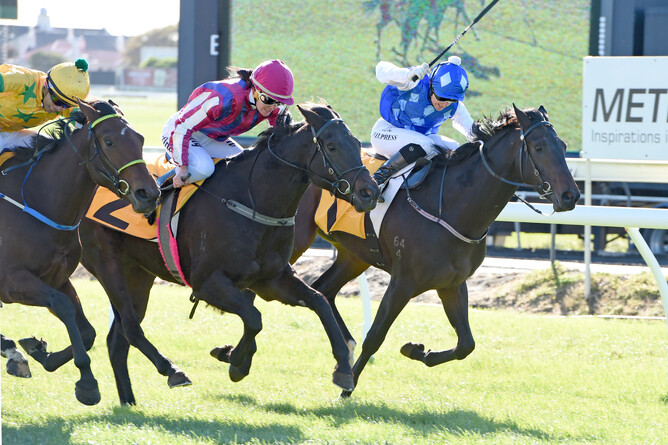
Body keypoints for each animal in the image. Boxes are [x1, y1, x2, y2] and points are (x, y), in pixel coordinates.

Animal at [0, 100, 160, 405]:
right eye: (108, 141)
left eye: (140, 139)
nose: (149, 194)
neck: (38, 201)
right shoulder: (11, 281)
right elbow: (63, 306)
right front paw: (87, 382)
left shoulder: (57, 278)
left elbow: (87, 331)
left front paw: (40, 353)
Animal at [78, 102, 380, 405]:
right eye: (331, 146)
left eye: (356, 143)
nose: (370, 191)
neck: (252, 201)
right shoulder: (208, 283)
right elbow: (254, 317)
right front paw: (235, 361)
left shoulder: (272, 279)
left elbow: (319, 301)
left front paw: (343, 369)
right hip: (107, 264)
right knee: (129, 328)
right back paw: (171, 373)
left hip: (138, 273)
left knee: (118, 339)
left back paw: (128, 400)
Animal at [289, 105, 580, 398]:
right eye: (539, 147)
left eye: (563, 146)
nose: (571, 195)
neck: (450, 208)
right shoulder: (403, 281)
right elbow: (375, 337)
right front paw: (347, 388)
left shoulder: (452, 283)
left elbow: (466, 344)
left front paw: (416, 350)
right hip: (297, 239)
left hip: (354, 256)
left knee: (324, 289)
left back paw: (346, 345)